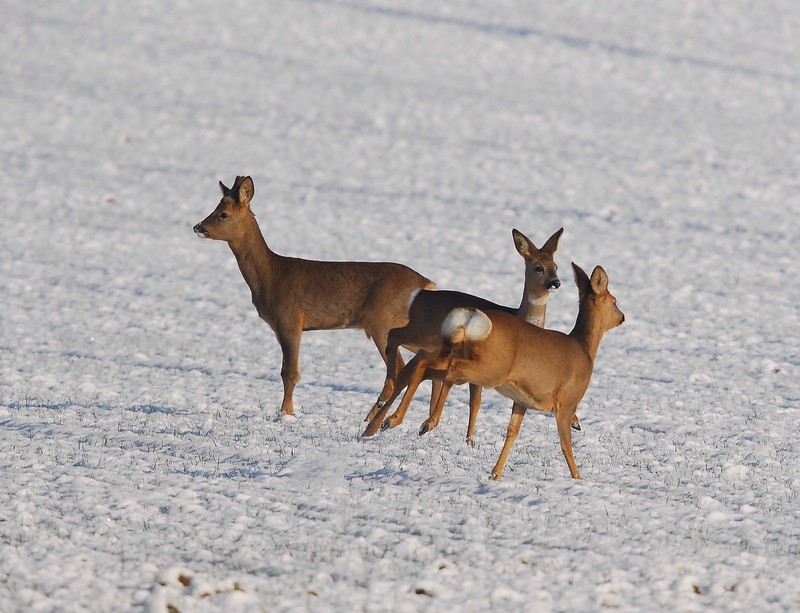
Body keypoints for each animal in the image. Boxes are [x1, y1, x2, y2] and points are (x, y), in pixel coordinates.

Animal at [192, 177, 438, 416]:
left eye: (223, 214)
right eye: (215, 208)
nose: (197, 227)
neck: (271, 275)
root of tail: (427, 283)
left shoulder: (289, 320)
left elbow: (289, 373)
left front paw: (286, 414)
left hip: (384, 323)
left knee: (399, 370)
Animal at [362, 227, 576, 442]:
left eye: (556, 267)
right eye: (538, 267)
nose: (555, 283)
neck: (519, 316)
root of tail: (420, 295)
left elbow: (474, 401)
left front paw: (468, 440)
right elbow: (473, 399)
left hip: (428, 347)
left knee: (408, 371)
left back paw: (373, 424)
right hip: (422, 334)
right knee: (395, 339)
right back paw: (382, 418)